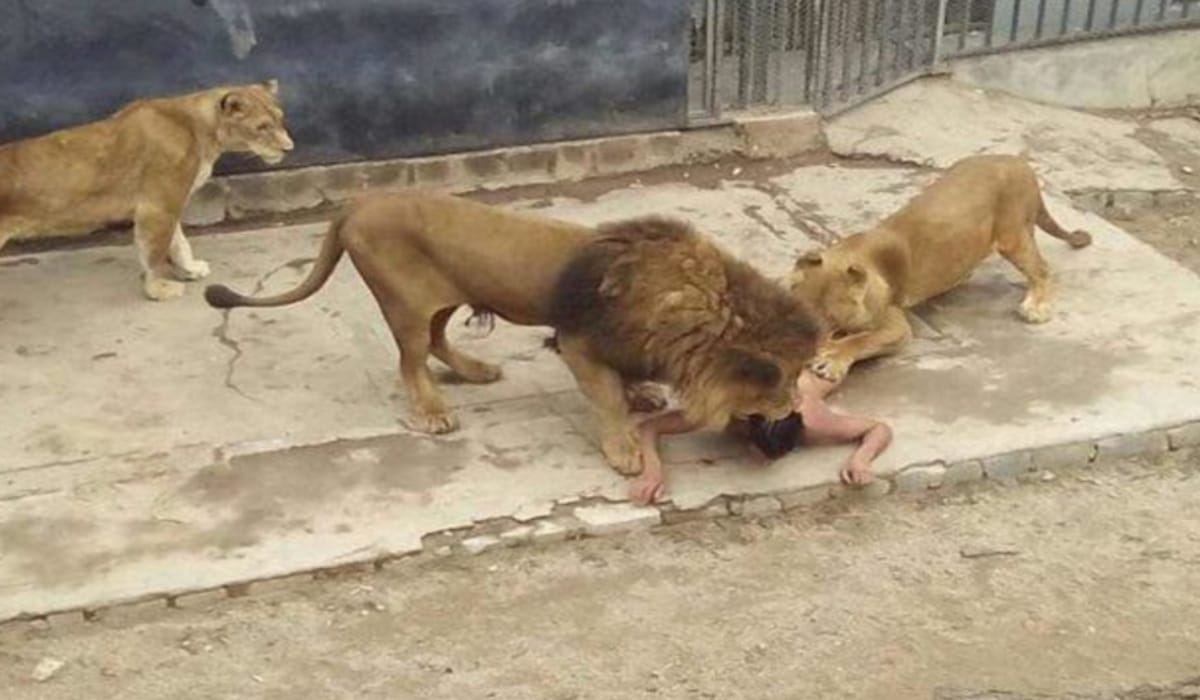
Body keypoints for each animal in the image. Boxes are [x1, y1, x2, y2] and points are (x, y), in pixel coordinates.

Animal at [0, 81, 293, 300]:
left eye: (281, 120)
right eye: (262, 127)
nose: (289, 148)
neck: (203, 130)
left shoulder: (169, 201)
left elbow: (178, 242)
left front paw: (190, 269)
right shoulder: (158, 205)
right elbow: (155, 252)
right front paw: (160, 289)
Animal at [203, 190, 666, 434]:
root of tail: (358, 203)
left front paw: (641, 393)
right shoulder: (582, 336)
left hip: (443, 297)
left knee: (436, 341)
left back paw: (476, 371)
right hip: (404, 302)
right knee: (411, 361)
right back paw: (433, 412)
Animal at [548, 216, 824, 475]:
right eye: (788, 379)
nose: (798, 404)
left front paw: (640, 394)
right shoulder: (576, 341)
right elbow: (609, 398)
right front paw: (624, 451)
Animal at [790, 154, 1092, 383]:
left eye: (830, 318)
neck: (847, 254)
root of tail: (1019, 161)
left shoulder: (896, 325)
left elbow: (862, 339)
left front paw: (831, 359)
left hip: (1012, 235)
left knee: (1042, 269)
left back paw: (1035, 307)